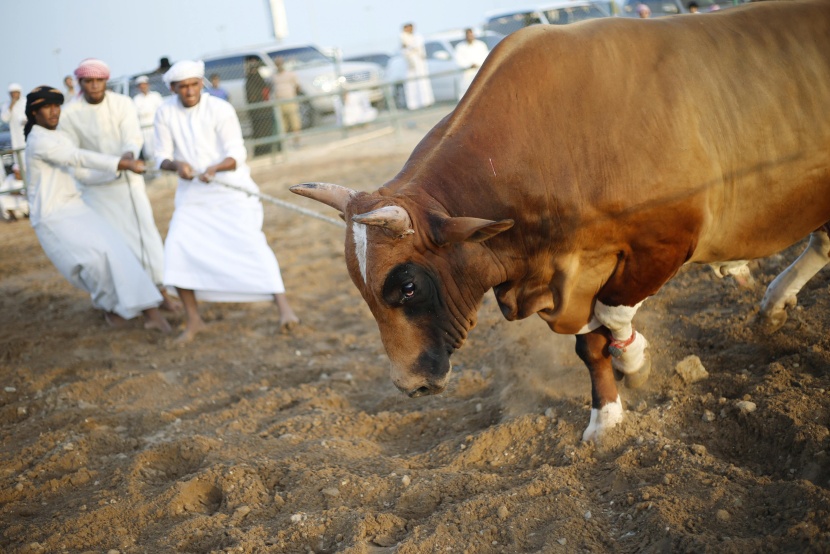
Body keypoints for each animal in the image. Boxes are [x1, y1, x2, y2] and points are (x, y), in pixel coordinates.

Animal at [294, 0, 830, 440]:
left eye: (407, 286)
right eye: (361, 287)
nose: (410, 385)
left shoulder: (663, 244)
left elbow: (614, 316)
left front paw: (635, 359)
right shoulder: (569, 273)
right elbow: (589, 344)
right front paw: (606, 416)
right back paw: (774, 302)